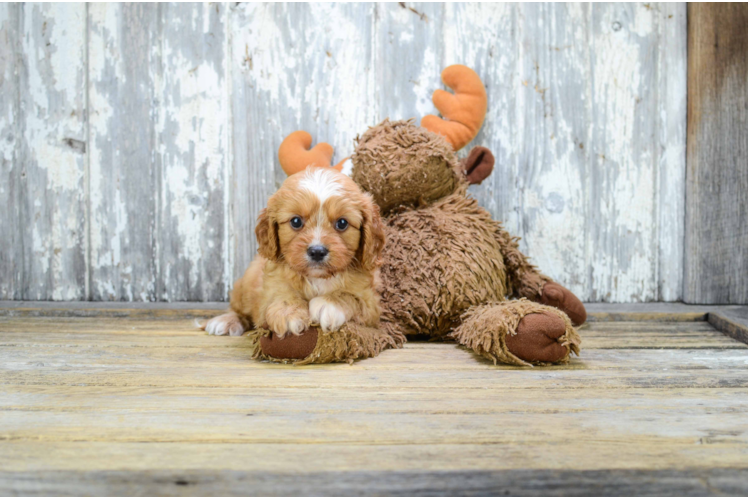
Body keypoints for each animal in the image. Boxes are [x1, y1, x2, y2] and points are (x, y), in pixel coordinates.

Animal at [200, 168, 382, 340]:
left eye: (342, 223)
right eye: (296, 221)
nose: (317, 252)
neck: (317, 278)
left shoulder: (371, 304)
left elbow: (351, 296)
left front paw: (329, 304)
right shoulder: (269, 289)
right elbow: (281, 294)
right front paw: (288, 312)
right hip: (245, 285)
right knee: (238, 309)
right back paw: (226, 321)